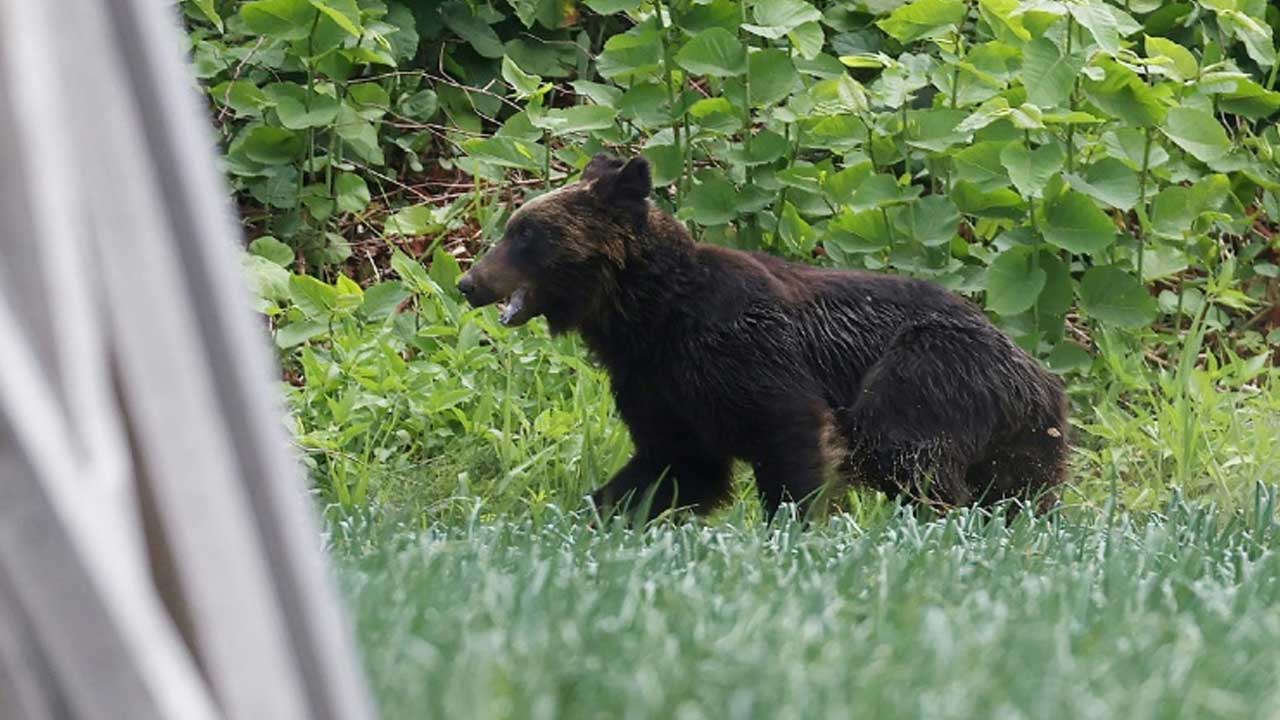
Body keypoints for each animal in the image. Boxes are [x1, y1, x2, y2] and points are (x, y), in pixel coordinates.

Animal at [457, 153, 1069, 520]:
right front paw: (597, 513)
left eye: (526, 233)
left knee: (903, 450)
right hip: (1023, 437)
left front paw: (792, 527)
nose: (468, 281)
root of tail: (1039, 370)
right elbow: (673, 466)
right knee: (1020, 491)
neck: (647, 316)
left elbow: (789, 431)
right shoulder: (656, 385)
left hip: (931, 368)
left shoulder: (742, 350)